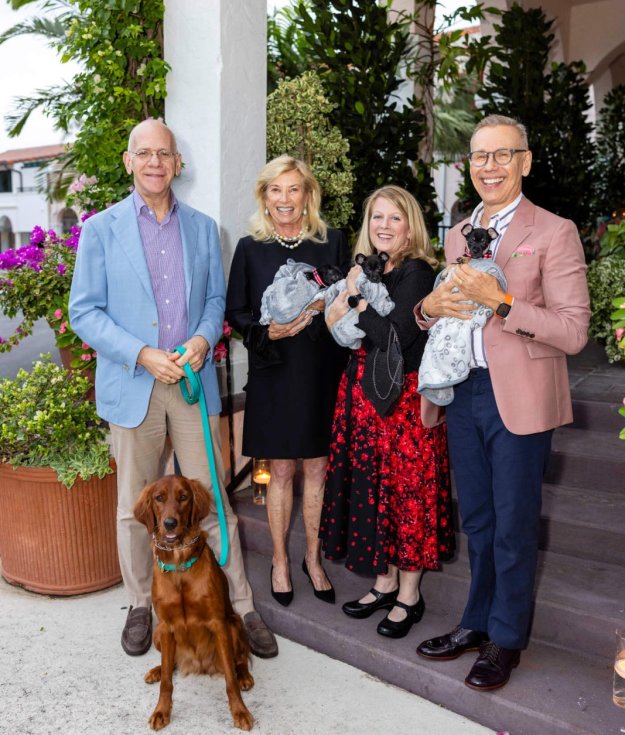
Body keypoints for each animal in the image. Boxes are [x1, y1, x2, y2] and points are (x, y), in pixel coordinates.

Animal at [133, 478, 254, 732]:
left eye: (183, 497)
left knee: (240, 659)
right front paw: (161, 711)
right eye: (159, 498)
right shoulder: (166, 626)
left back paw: (245, 676)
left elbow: (230, 679)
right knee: (170, 665)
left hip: (234, 625)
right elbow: (167, 680)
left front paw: (240, 711)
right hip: (157, 634)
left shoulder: (219, 623)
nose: (170, 524)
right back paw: (155, 670)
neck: (179, 565)